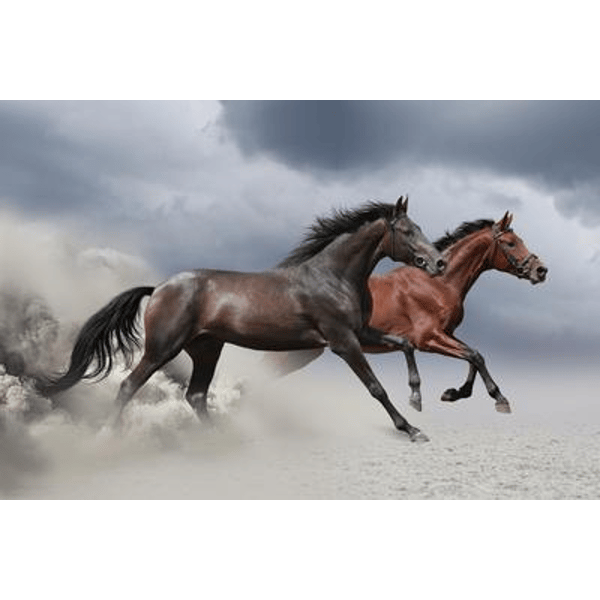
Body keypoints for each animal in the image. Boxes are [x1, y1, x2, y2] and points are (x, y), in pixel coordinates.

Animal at [39, 196, 446, 441]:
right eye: (407, 231)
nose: (439, 263)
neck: (332, 276)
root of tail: (158, 288)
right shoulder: (342, 341)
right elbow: (376, 387)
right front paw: (412, 428)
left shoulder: (361, 331)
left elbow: (406, 344)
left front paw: (417, 398)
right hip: (162, 348)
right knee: (129, 386)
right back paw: (106, 436)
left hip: (206, 349)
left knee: (196, 395)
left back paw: (223, 440)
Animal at [269, 212, 547, 414]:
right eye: (511, 243)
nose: (541, 270)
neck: (438, 283)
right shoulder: (428, 338)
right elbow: (475, 356)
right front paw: (499, 398)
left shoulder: (445, 333)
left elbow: (474, 355)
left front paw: (454, 393)